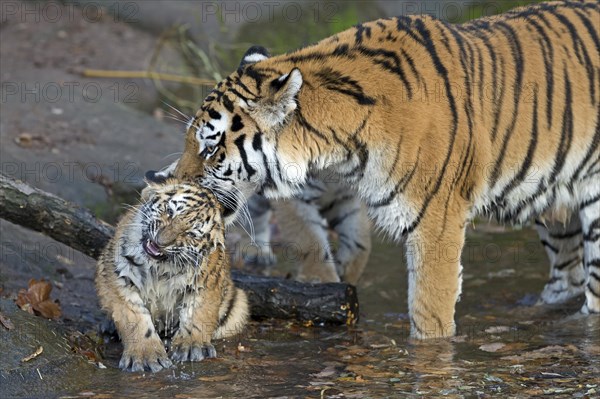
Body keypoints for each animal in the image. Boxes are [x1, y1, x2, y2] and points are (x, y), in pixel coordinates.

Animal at [165, 0, 600, 340]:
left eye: (209, 147)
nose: (170, 182)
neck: (337, 151)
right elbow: (321, 245)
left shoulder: (437, 224)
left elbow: (429, 314)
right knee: (569, 273)